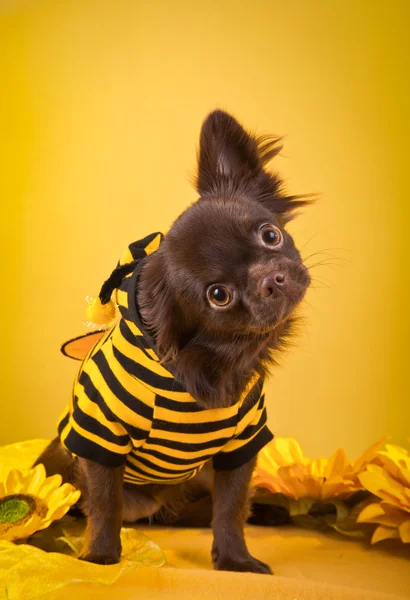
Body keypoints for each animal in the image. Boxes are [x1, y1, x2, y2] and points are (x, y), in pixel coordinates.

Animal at [36, 110, 310, 576]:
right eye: (218, 296)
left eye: (270, 235)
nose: (271, 280)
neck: (218, 360)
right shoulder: (101, 441)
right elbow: (104, 506)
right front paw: (101, 558)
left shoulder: (242, 445)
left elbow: (231, 508)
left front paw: (235, 560)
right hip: (67, 467)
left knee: (197, 510)